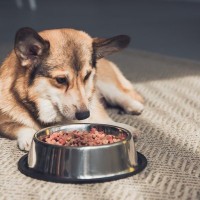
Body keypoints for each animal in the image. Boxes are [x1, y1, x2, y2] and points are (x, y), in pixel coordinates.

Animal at [0, 27, 145, 151]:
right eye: (61, 80)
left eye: (86, 76)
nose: (84, 115)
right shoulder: (4, 122)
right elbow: (19, 125)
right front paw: (29, 137)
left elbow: (104, 119)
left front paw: (124, 127)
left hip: (106, 86)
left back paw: (134, 107)